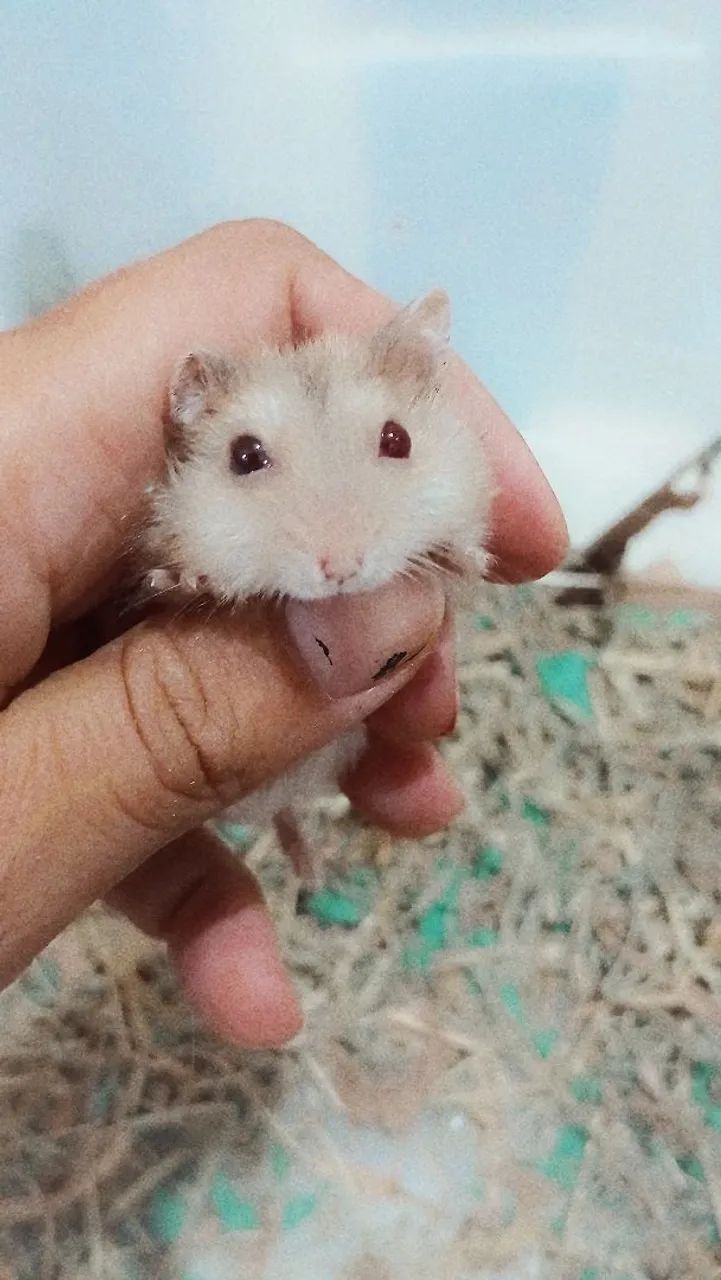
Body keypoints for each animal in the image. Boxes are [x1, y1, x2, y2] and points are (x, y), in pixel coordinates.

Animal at [143, 290, 493, 878]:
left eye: (398, 438)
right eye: (245, 455)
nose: (342, 570)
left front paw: (451, 555)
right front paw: (192, 580)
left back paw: (310, 868)